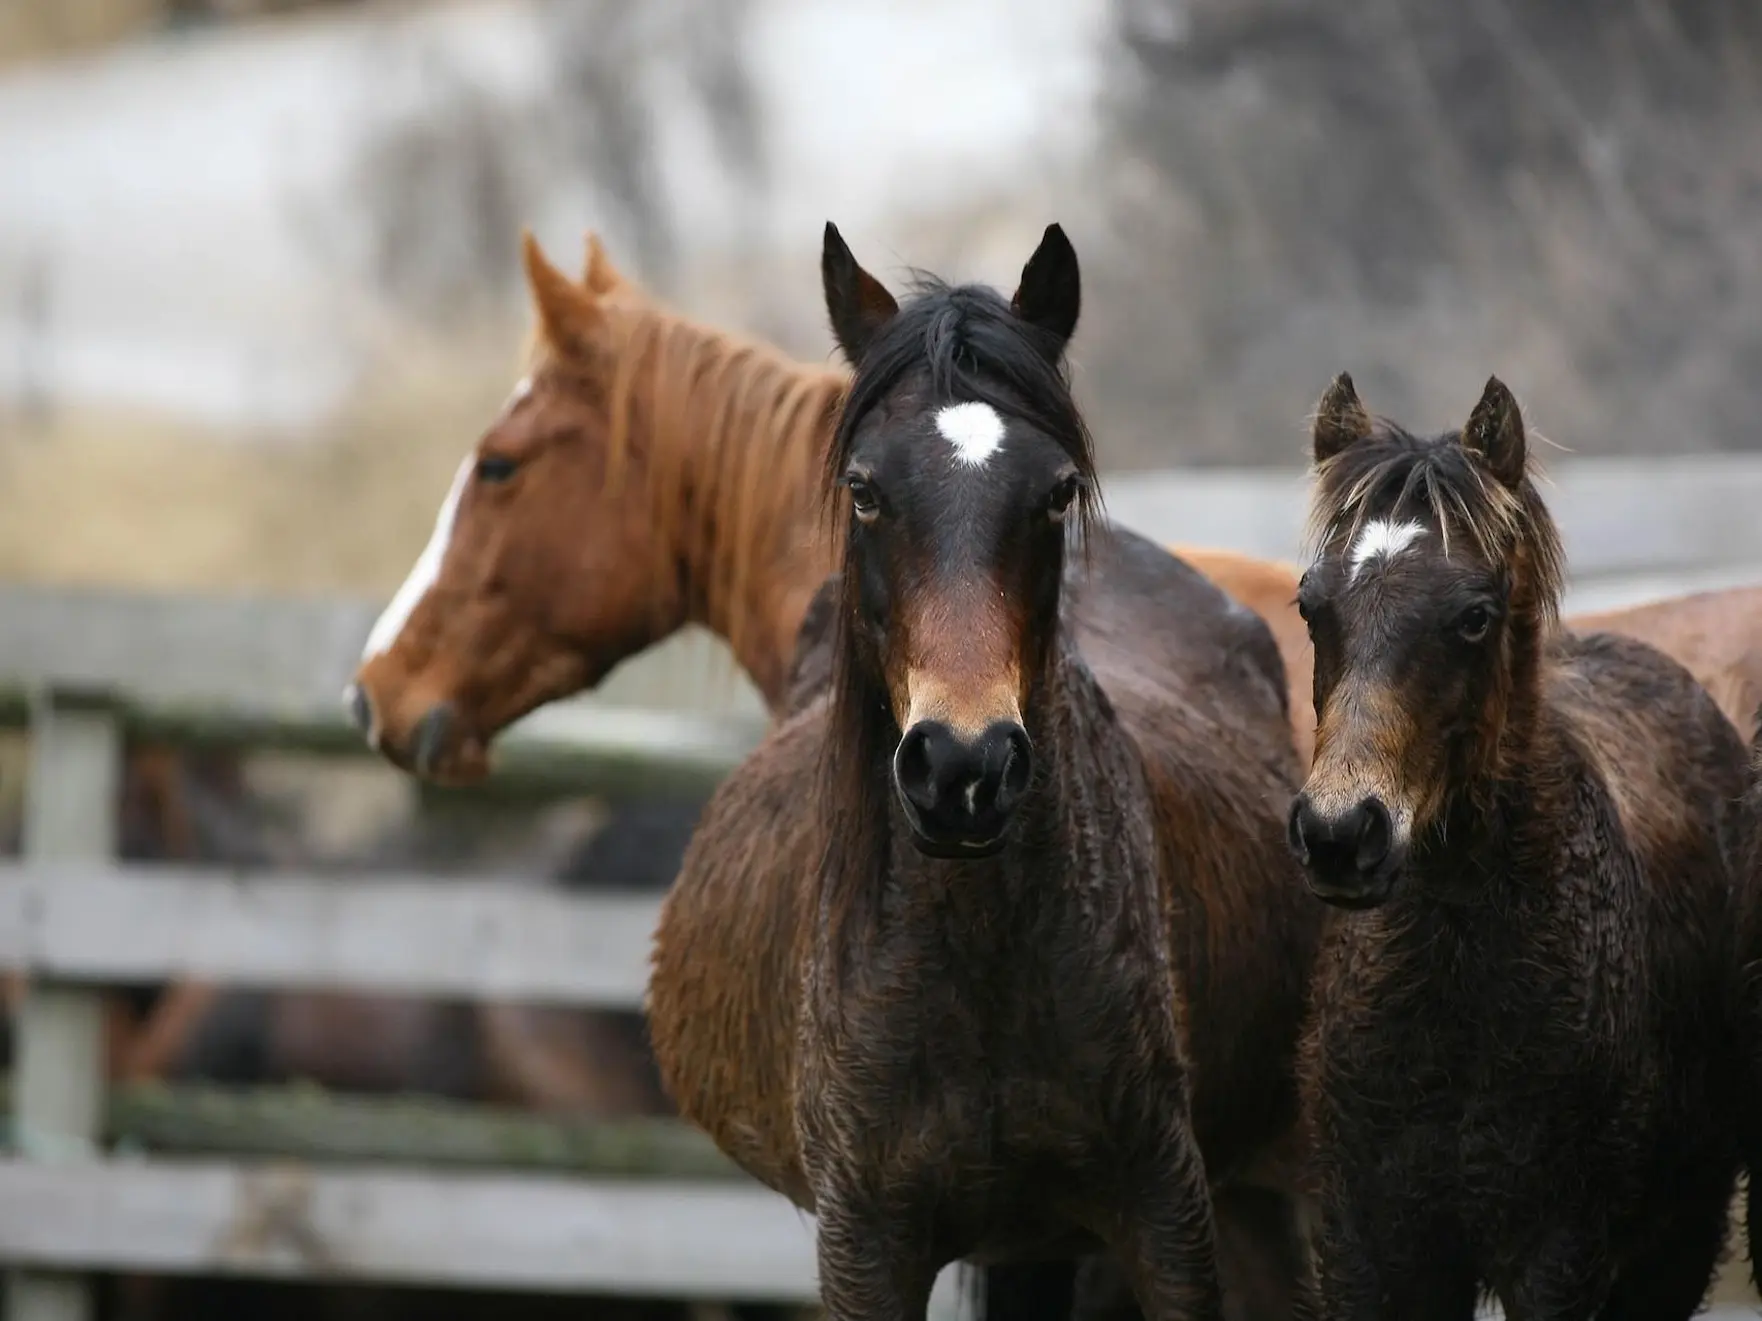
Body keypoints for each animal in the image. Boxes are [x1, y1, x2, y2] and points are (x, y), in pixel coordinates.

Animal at [641, 225, 1317, 1321]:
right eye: (864, 489)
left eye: (1054, 492)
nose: (963, 767)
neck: (978, 954)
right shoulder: (867, 1241)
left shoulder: (1166, 1214)